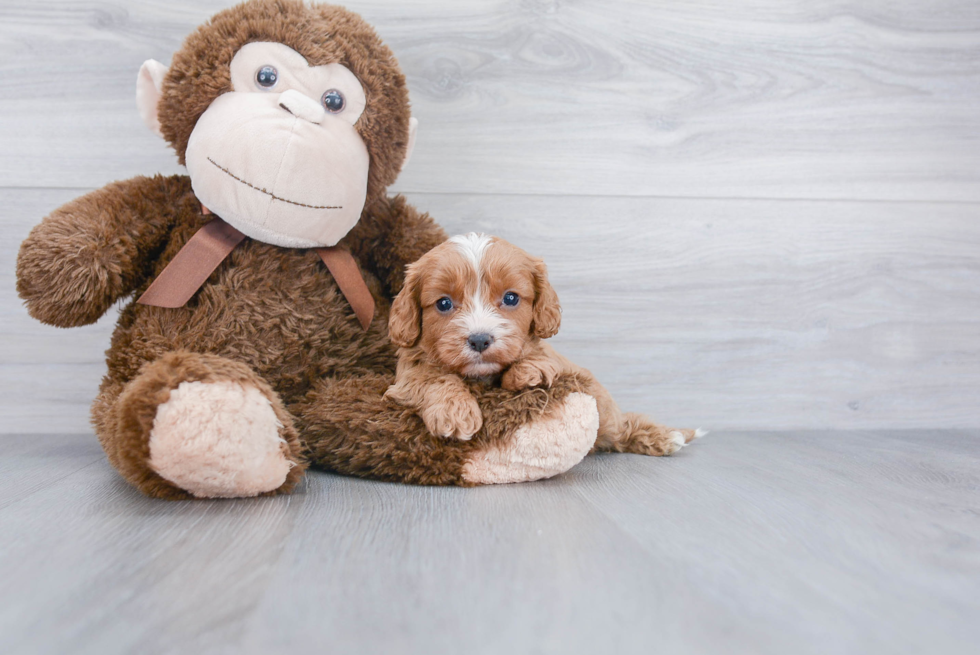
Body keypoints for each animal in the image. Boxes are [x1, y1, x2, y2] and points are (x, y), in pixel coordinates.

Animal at [386, 234, 700, 456]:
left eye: (511, 298)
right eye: (443, 303)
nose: (479, 339)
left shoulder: (554, 359)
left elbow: (541, 356)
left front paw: (527, 372)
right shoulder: (406, 376)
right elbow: (433, 377)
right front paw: (455, 412)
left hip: (605, 411)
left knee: (622, 428)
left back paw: (666, 436)